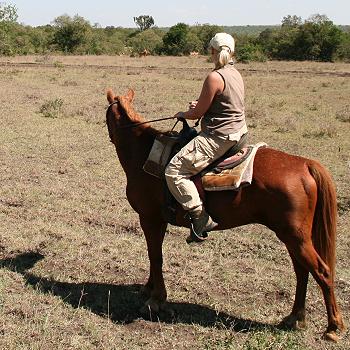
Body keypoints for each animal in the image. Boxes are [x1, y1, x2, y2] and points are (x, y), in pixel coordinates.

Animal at [104, 88, 344, 342]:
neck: (143, 153)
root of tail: (305, 164)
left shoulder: (150, 218)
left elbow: (155, 256)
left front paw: (156, 300)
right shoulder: (156, 221)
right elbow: (154, 255)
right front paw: (149, 289)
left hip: (295, 237)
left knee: (322, 272)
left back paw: (332, 327)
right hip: (293, 238)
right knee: (302, 271)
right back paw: (295, 317)